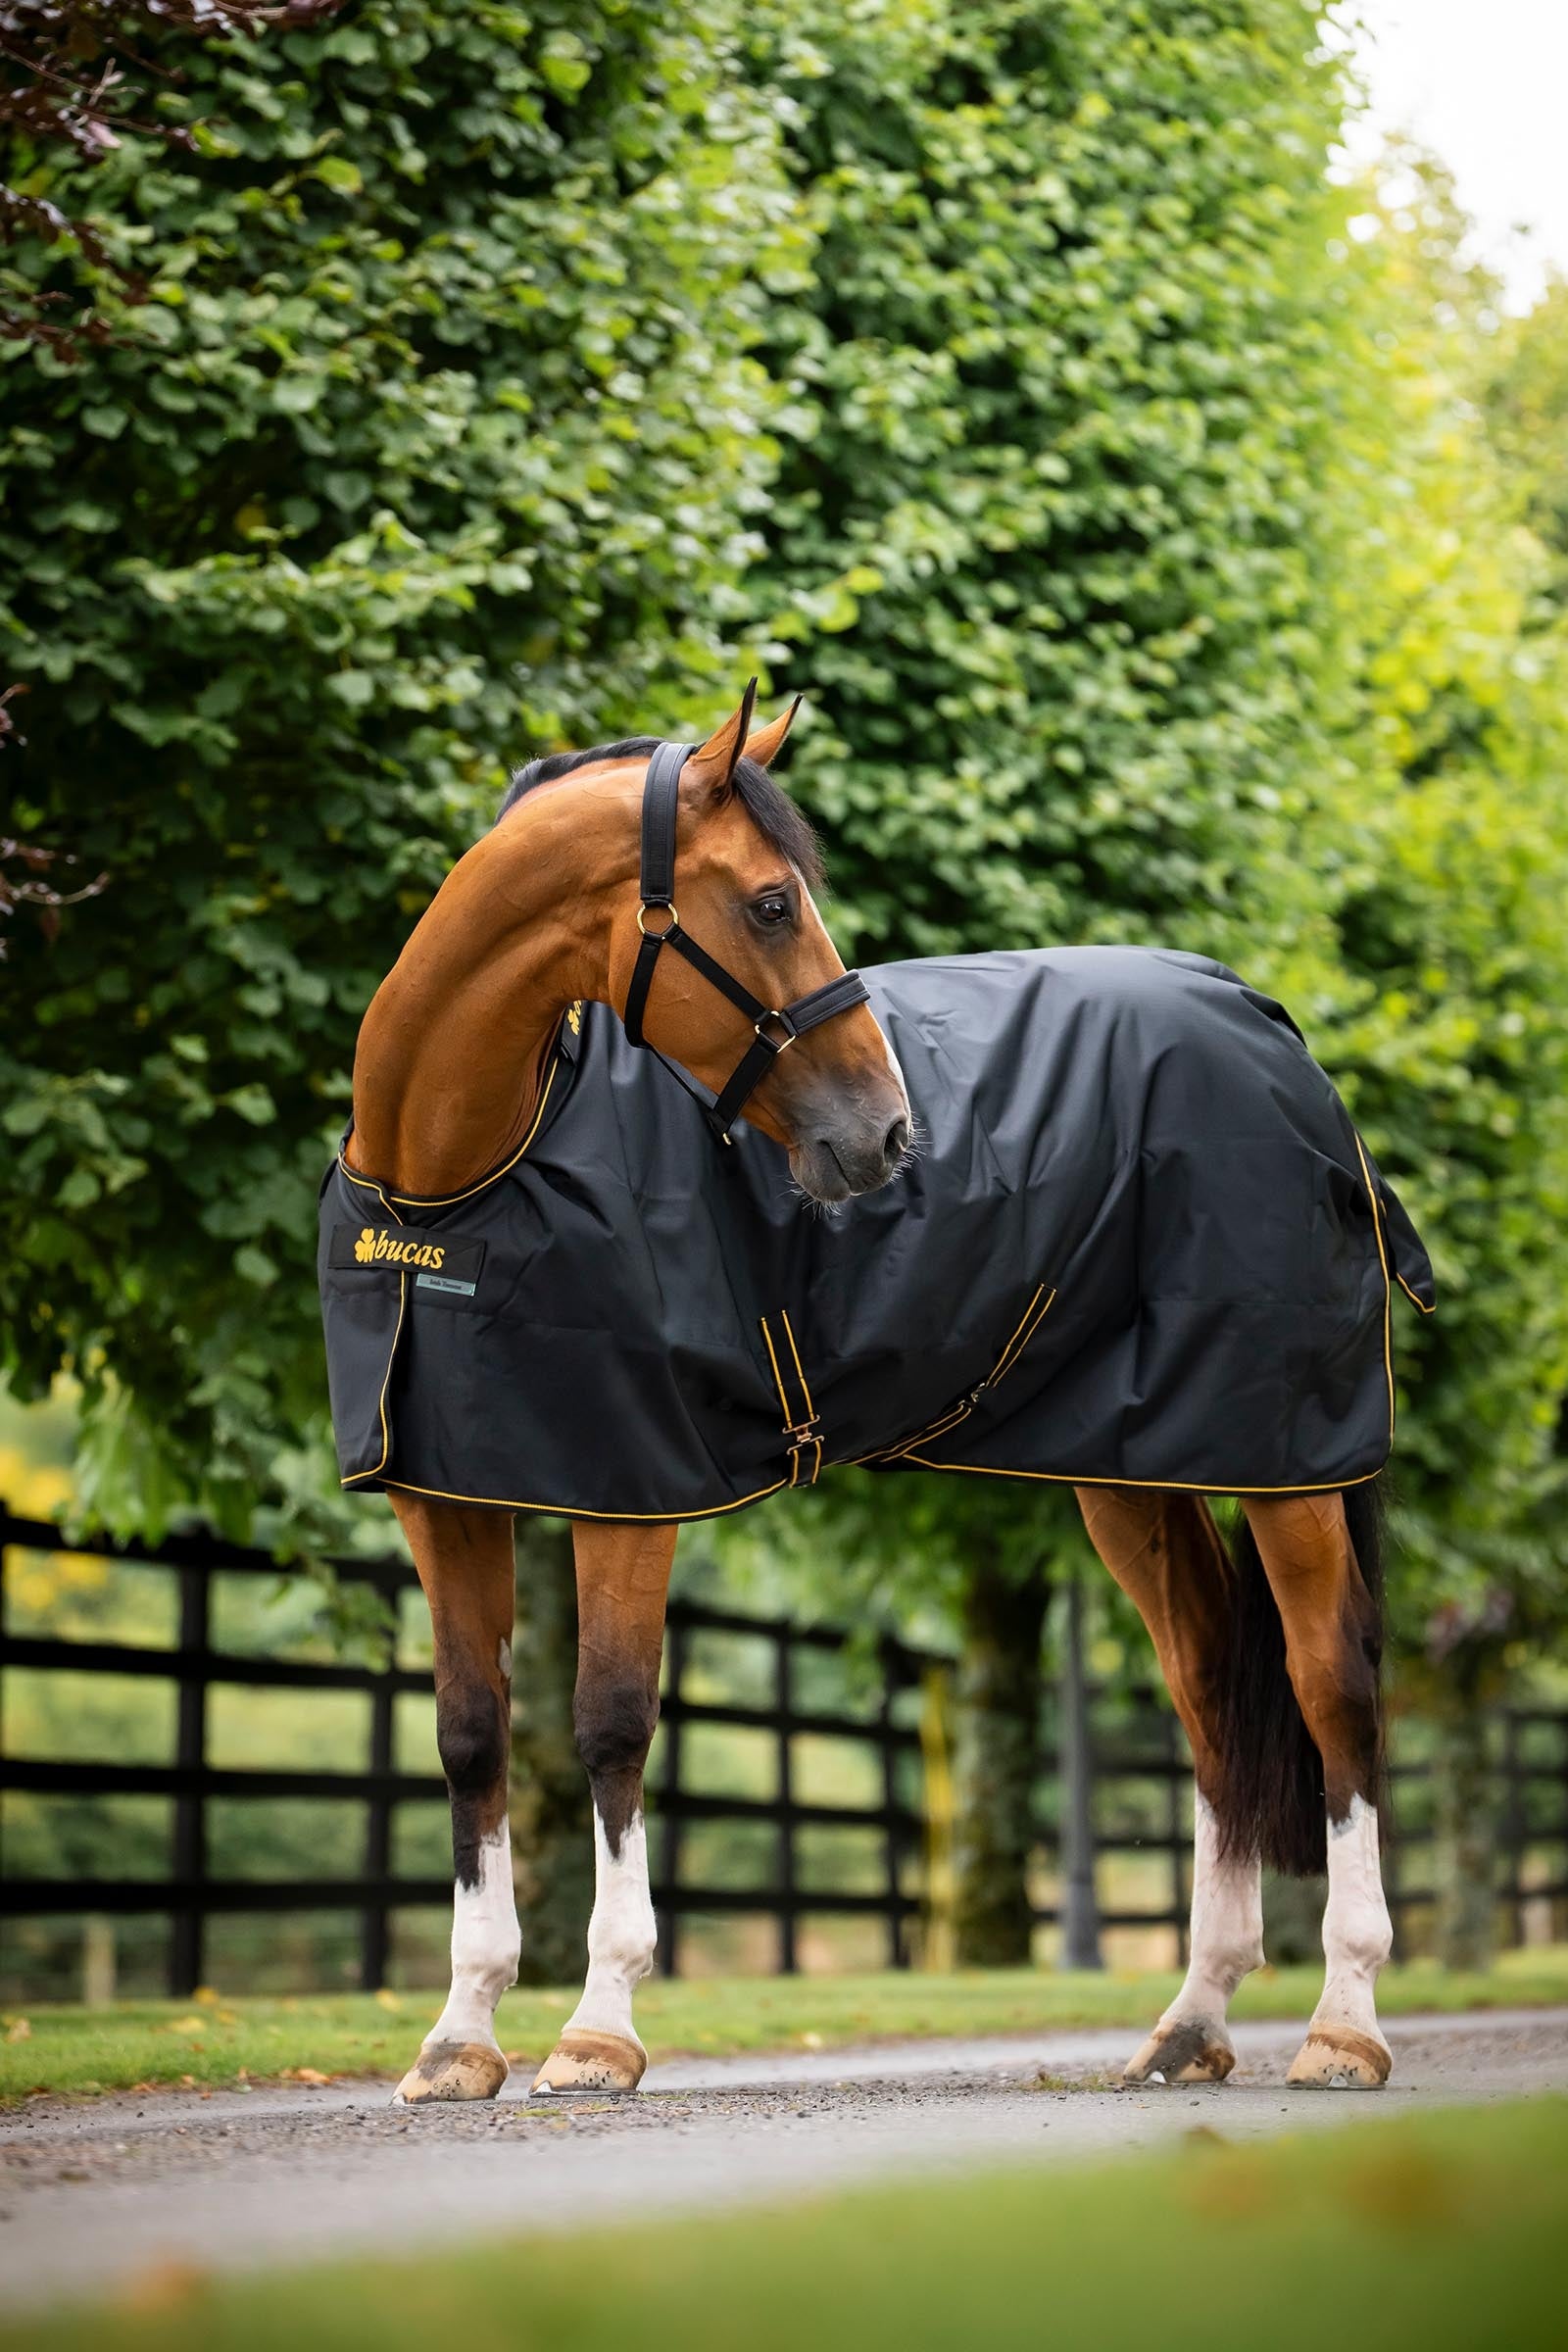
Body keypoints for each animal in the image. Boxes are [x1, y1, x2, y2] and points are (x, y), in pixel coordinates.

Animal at [332, 689, 1418, 2107]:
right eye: (772, 903)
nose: (892, 1135)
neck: (466, 1174)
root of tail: (1270, 1026)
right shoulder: (448, 1497)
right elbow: (471, 1738)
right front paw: (458, 2039)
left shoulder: (632, 1495)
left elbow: (613, 1726)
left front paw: (599, 2029)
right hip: (1137, 1470)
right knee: (1210, 1695)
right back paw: (1192, 2020)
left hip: (1283, 1457)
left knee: (1330, 1686)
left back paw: (1346, 2023)